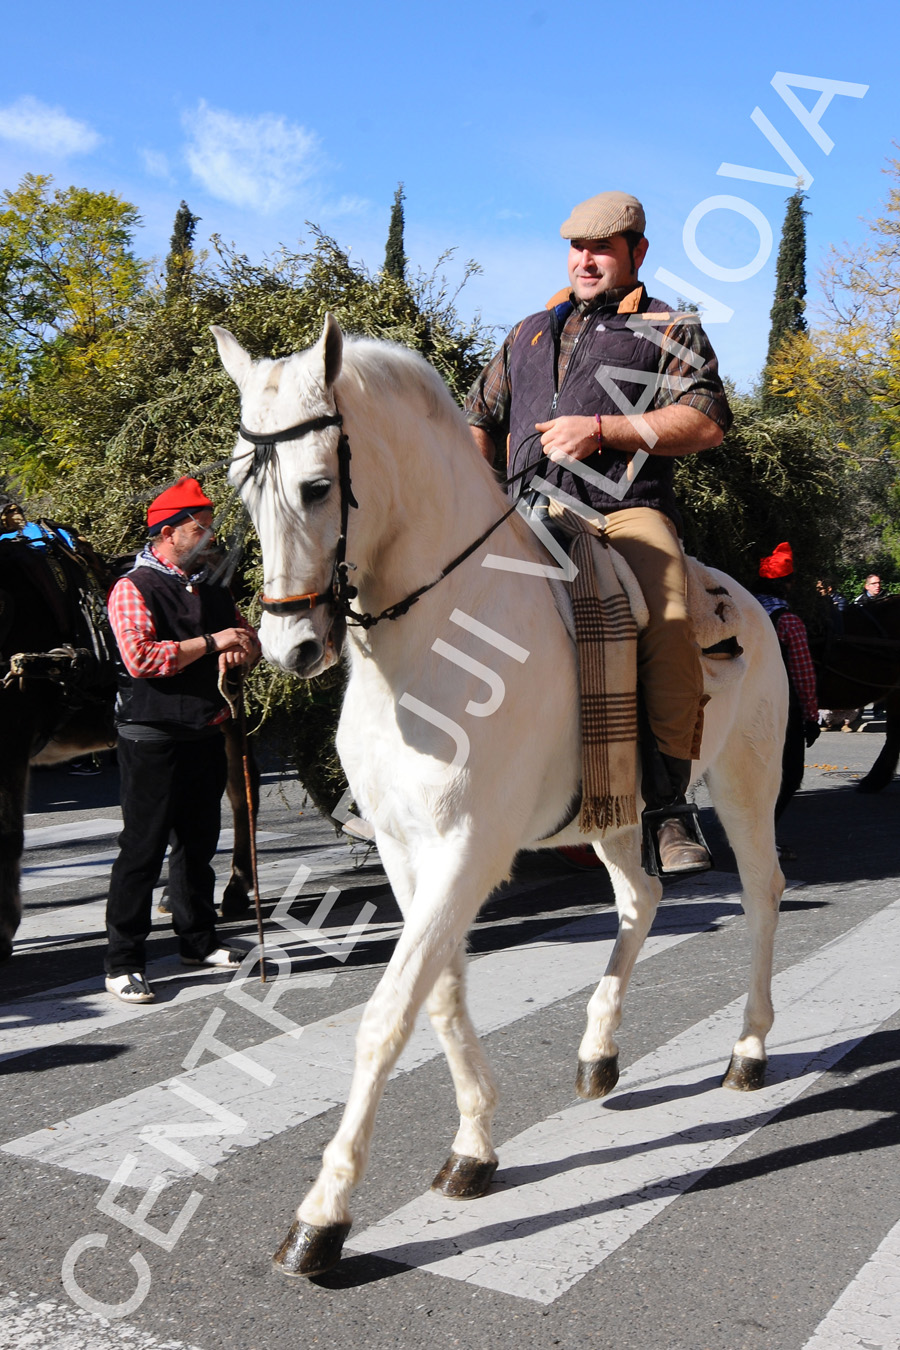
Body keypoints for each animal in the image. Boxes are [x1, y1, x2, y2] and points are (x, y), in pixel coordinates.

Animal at [213, 313, 788, 1274]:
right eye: (238, 489)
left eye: (317, 486)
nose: (290, 648)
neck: (436, 637)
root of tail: (751, 599)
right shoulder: (410, 853)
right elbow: (441, 995)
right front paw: (475, 1146)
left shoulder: (469, 850)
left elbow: (387, 1015)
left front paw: (324, 1214)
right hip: (613, 813)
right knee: (640, 896)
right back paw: (599, 1051)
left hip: (746, 784)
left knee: (761, 895)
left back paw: (747, 1049)